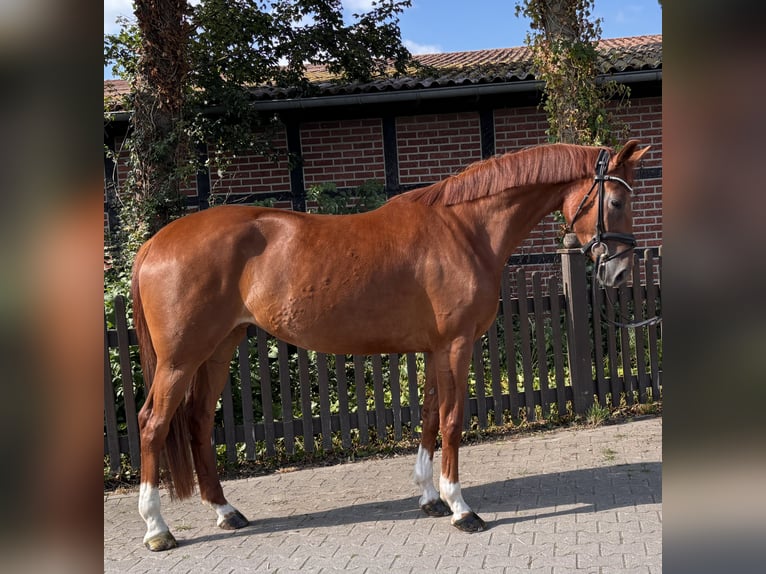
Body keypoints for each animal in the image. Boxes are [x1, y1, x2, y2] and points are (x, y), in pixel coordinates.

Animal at [131, 139, 649, 550]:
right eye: (616, 200)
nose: (620, 272)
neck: (465, 228)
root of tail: (155, 243)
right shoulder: (457, 345)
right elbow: (453, 421)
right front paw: (461, 508)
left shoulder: (436, 349)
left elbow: (430, 415)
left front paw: (430, 498)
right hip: (180, 359)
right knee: (153, 423)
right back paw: (157, 529)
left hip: (218, 348)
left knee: (198, 422)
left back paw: (225, 511)